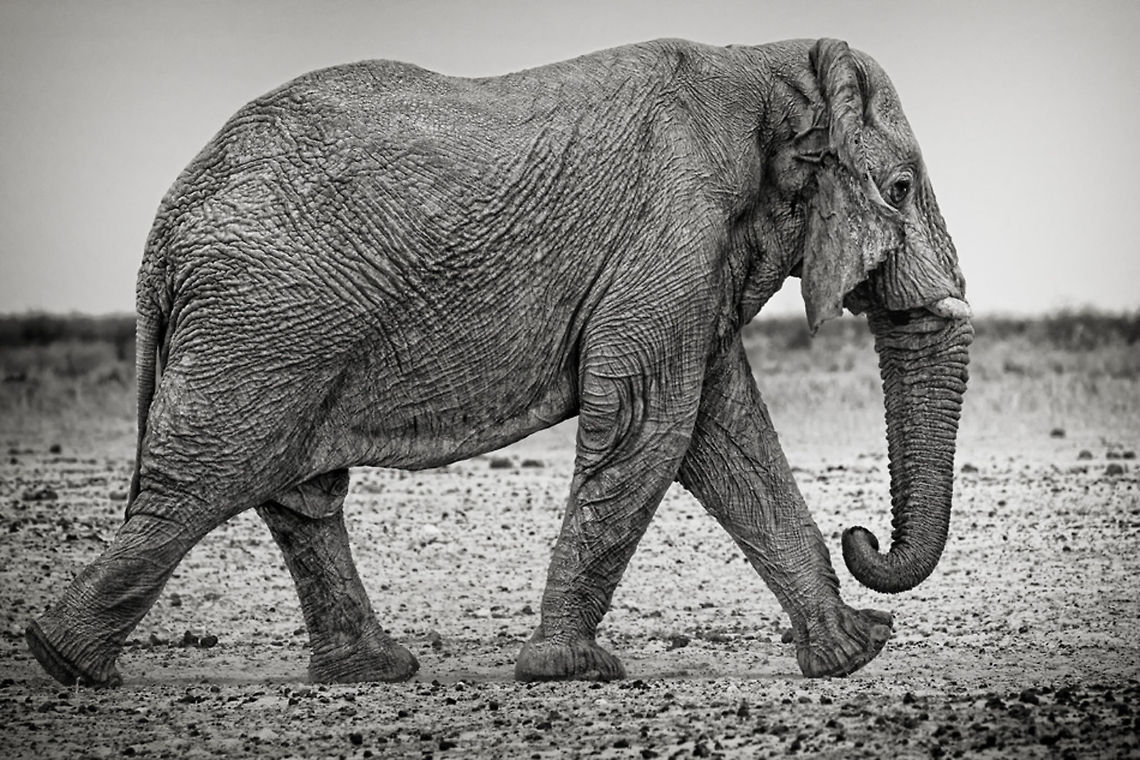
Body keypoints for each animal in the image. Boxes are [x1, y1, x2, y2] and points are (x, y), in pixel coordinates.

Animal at [26, 36, 971, 687]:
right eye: (900, 189)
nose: (864, 535)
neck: (772, 64)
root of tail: (164, 228)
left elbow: (721, 433)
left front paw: (851, 656)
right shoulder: (673, 227)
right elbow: (649, 425)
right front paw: (571, 672)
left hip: (275, 324)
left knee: (293, 491)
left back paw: (372, 674)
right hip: (262, 319)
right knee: (204, 481)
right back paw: (65, 664)